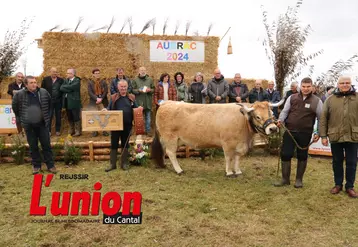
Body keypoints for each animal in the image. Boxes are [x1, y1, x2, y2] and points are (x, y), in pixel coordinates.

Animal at [152, 99, 284, 177]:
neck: (242, 120)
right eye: (257, 116)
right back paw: (179, 170)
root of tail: (166, 103)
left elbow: (237, 158)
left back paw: (163, 165)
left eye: (271, 113)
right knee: (171, 153)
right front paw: (229, 172)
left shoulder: (240, 145)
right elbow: (229, 158)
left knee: (164, 151)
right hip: (170, 137)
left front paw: (238, 171)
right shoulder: (227, 143)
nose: (273, 128)